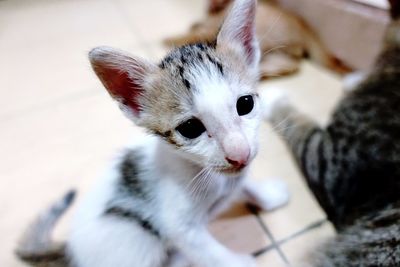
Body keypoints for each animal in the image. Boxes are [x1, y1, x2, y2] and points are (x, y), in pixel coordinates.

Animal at [14, 0, 288, 267]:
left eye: (245, 104)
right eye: (190, 128)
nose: (239, 155)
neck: (211, 177)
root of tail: (70, 249)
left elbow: (245, 183)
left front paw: (268, 195)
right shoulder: (180, 227)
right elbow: (209, 252)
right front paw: (242, 262)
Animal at [162, 0, 350, 79]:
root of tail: (305, 28)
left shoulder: (212, 29)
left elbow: (193, 34)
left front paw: (169, 40)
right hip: (281, 54)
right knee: (289, 65)